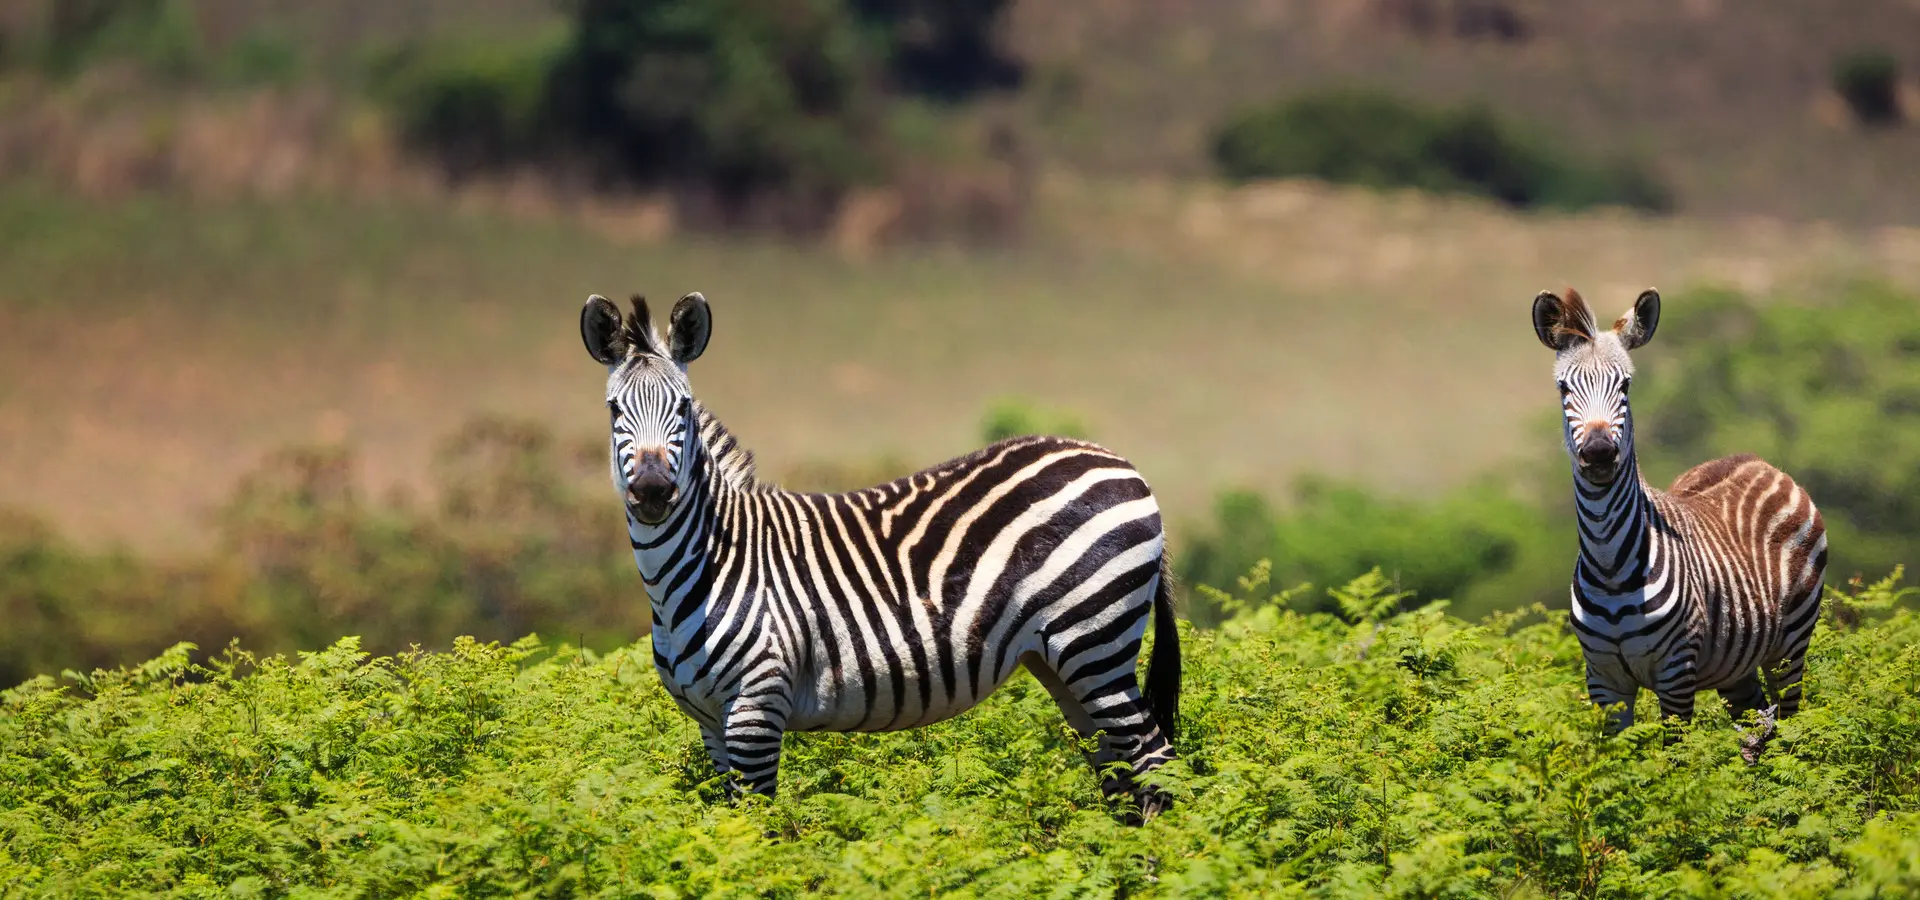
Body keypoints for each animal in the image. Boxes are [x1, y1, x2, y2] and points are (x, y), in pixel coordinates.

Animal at [580, 291, 1182, 817]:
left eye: (682, 407)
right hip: (1063, 661)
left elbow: (760, 832)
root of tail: (1119, 462)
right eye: (613, 411)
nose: (653, 491)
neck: (706, 564)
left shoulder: (756, 707)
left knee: (1155, 763)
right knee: (1121, 774)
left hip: (1093, 639)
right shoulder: (709, 721)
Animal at [1532, 286, 1827, 761]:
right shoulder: (1604, 680)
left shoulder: (1676, 674)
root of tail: (1755, 459)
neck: (1610, 564)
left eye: (1625, 385)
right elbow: (1619, 767)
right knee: (1757, 726)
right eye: (1563, 387)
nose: (1598, 453)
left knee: (1790, 723)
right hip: (1736, 665)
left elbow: (1674, 765)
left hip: (1791, 644)